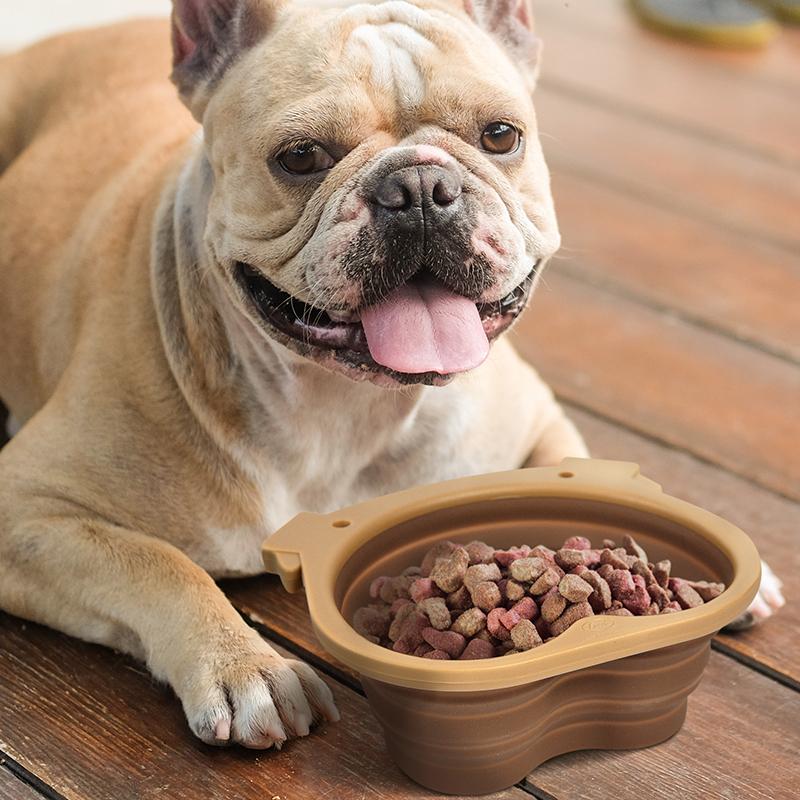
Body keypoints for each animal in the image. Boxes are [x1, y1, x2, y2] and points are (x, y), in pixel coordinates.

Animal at [0, 0, 780, 752]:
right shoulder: (27, 508)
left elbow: (581, 475)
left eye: (502, 136)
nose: (421, 186)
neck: (344, 407)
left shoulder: (538, 415)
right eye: (301, 157)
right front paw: (247, 668)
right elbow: (161, 565)